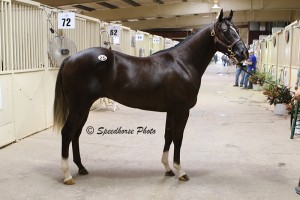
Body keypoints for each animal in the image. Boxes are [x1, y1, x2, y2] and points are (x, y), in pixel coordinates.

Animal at [54, 9, 248, 184]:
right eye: (225, 31)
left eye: (237, 30)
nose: (243, 53)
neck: (183, 64)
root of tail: (70, 58)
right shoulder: (182, 111)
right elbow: (178, 138)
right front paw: (181, 172)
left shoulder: (172, 111)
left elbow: (168, 136)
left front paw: (168, 169)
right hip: (79, 108)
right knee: (67, 133)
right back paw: (67, 175)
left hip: (84, 108)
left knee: (76, 134)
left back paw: (81, 168)